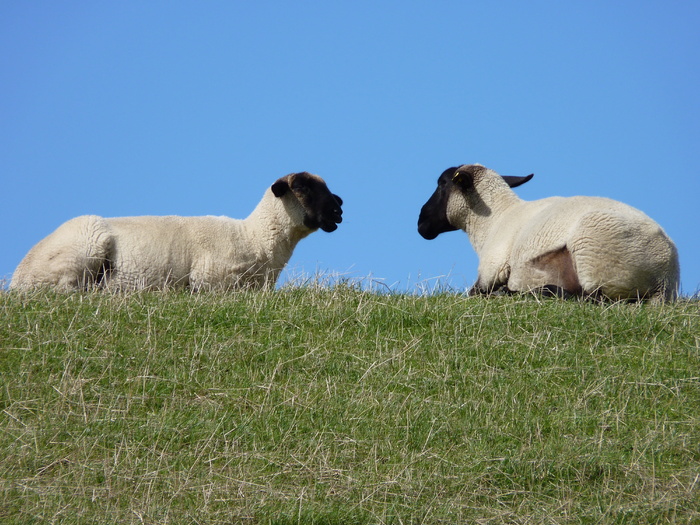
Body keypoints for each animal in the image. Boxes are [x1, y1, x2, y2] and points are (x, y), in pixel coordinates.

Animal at [11, 171, 344, 290]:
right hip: (83, 247)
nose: (339, 210)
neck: (255, 239)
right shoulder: (211, 281)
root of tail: (17, 277)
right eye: (302, 187)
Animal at [418, 164, 680, 302]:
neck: (495, 220)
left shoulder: (490, 272)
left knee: (592, 298)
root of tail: (666, 275)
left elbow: (474, 293)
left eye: (442, 184)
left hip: (594, 255)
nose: (421, 221)